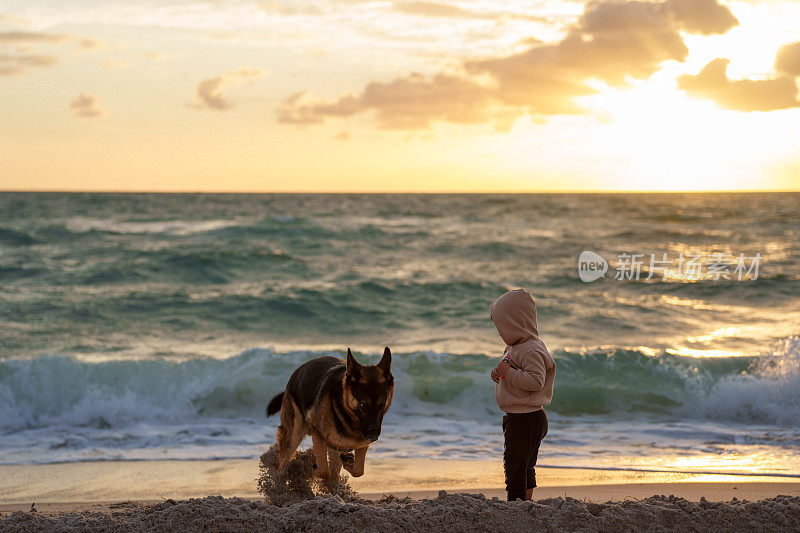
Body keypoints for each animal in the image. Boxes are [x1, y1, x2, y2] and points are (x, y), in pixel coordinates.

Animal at [266, 344, 394, 482]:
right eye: (363, 405)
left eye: (382, 405)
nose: (373, 436)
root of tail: (297, 372)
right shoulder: (318, 437)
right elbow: (324, 471)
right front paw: (311, 468)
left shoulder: (361, 444)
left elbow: (359, 471)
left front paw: (348, 462)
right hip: (294, 434)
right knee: (282, 463)